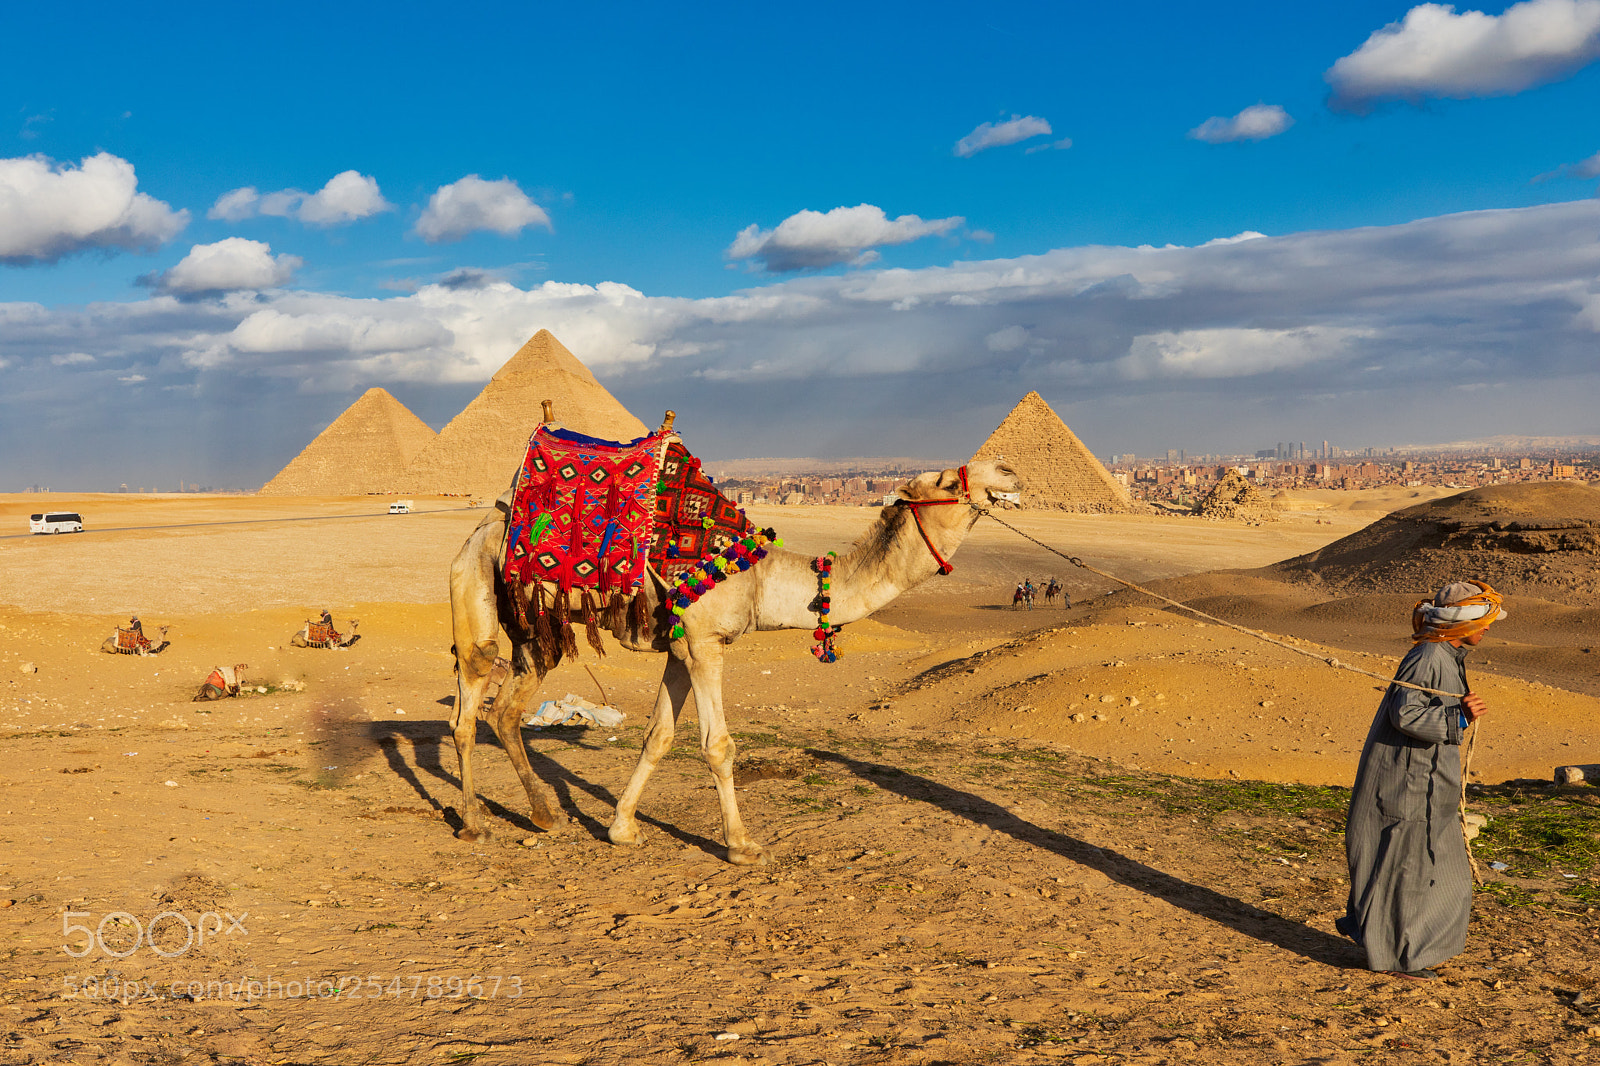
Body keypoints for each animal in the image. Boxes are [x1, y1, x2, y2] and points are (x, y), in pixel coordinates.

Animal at [448, 454, 1020, 864]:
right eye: (946, 480)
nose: (1009, 469)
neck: (761, 576)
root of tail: (480, 529)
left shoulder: (681, 646)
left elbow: (658, 737)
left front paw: (621, 829)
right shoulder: (705, 643)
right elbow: (718, 745)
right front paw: (742, 845)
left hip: (534, 630)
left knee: (505, 710)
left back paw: (545, 815)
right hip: (475, 583)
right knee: (469, 703)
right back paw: (474, 823)